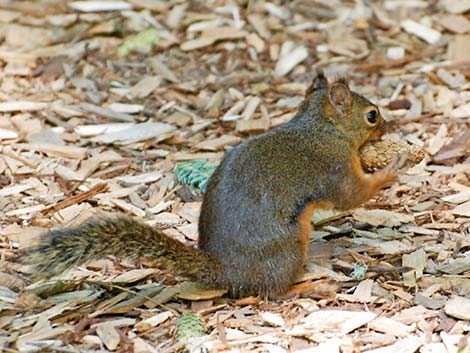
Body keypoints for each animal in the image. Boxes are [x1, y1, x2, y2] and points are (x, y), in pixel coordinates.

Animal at [21, 73, 404, 298]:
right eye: (372, 115)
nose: (388, 127)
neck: (321, 129)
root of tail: (226, 271)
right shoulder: (335, 167)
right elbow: (351, 195)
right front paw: (391, 169)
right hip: (289, 245)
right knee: (272, 292)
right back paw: (310, 284)